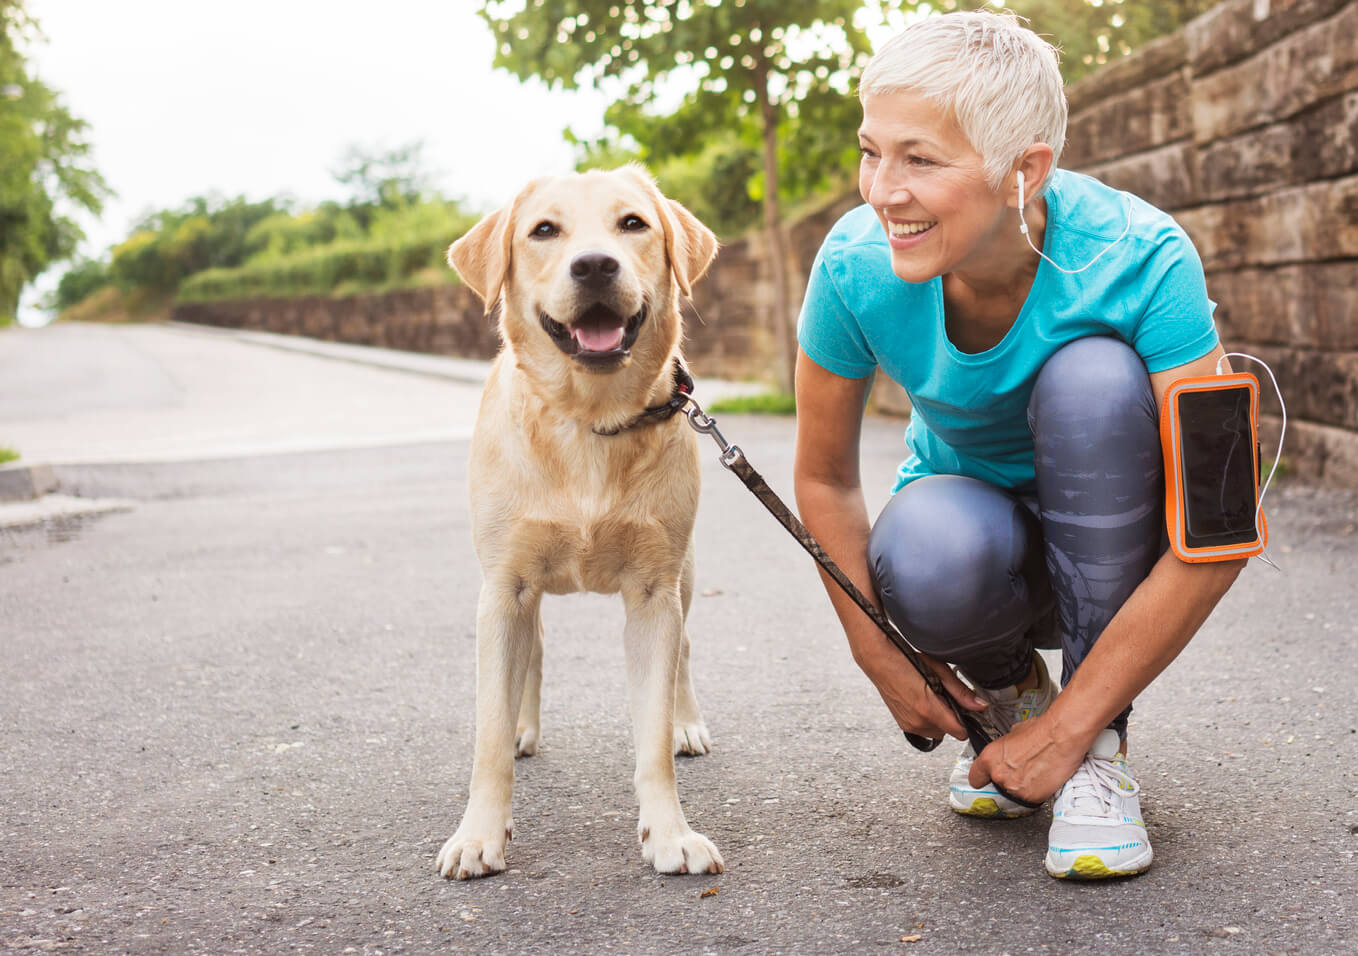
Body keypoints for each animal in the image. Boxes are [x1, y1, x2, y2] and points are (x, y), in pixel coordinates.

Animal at [439, 166, 727, 879]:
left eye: (633, 224)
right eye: (544, 230)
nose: (595, 265)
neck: (590, 422)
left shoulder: (653, 591)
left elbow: (651, 733)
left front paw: (670, 832)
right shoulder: (504, 588)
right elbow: (488, 733)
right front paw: (479, 833)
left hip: (684, 575)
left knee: (684, 648)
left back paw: (685, 722)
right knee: (533, 651)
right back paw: (524, 726)